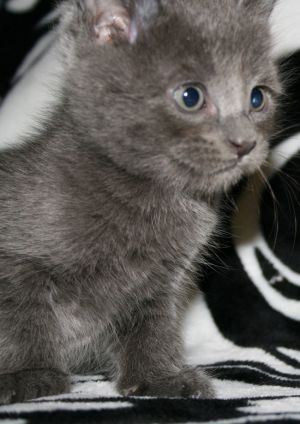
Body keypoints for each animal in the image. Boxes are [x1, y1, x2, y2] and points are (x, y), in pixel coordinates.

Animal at [0, 0, 278, 402]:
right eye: (191, 96)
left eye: (257, 97)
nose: (245, 143)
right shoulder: (15, 259)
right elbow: (20, 315)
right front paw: (27, 373)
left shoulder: (163, 281)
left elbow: (153, 327)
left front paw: (160, 377)